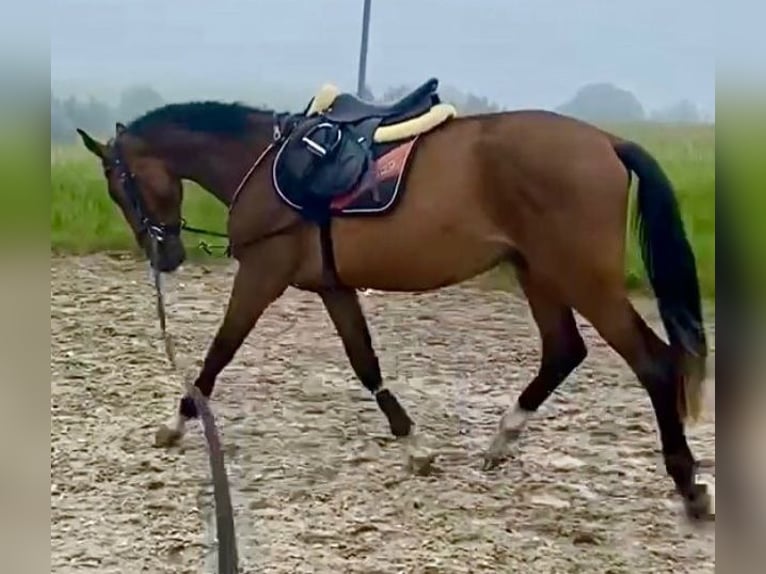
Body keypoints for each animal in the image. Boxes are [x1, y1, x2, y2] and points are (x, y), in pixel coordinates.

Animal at [78, 79, 712, 524]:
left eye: (118, 185)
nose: (165, 257)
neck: (262, 164)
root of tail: (607, 141)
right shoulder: (332, 287)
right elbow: (364, 362)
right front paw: (415, 447)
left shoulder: (262, 275)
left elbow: (219, 352)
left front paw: (176, 423)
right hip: (538, 271)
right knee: (563, 350)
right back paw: (503, 439)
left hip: (581, 277)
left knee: (654, 363)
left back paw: (687, 484)